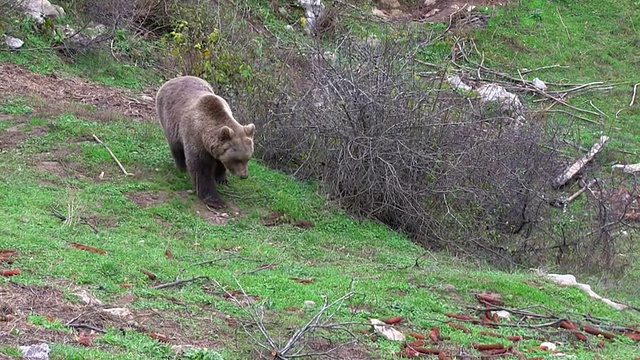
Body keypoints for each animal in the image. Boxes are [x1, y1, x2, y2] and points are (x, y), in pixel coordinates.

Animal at [155, 76, 255, 210]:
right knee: (176, 147)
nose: (244, 176)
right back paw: (182, 168)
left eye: (247, 158)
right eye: (237, 159)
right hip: (169, 121)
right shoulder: (195, 138)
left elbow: (220, 162)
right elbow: (201, 169)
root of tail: (174, 79)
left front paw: (221, 179)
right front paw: (215, 200)